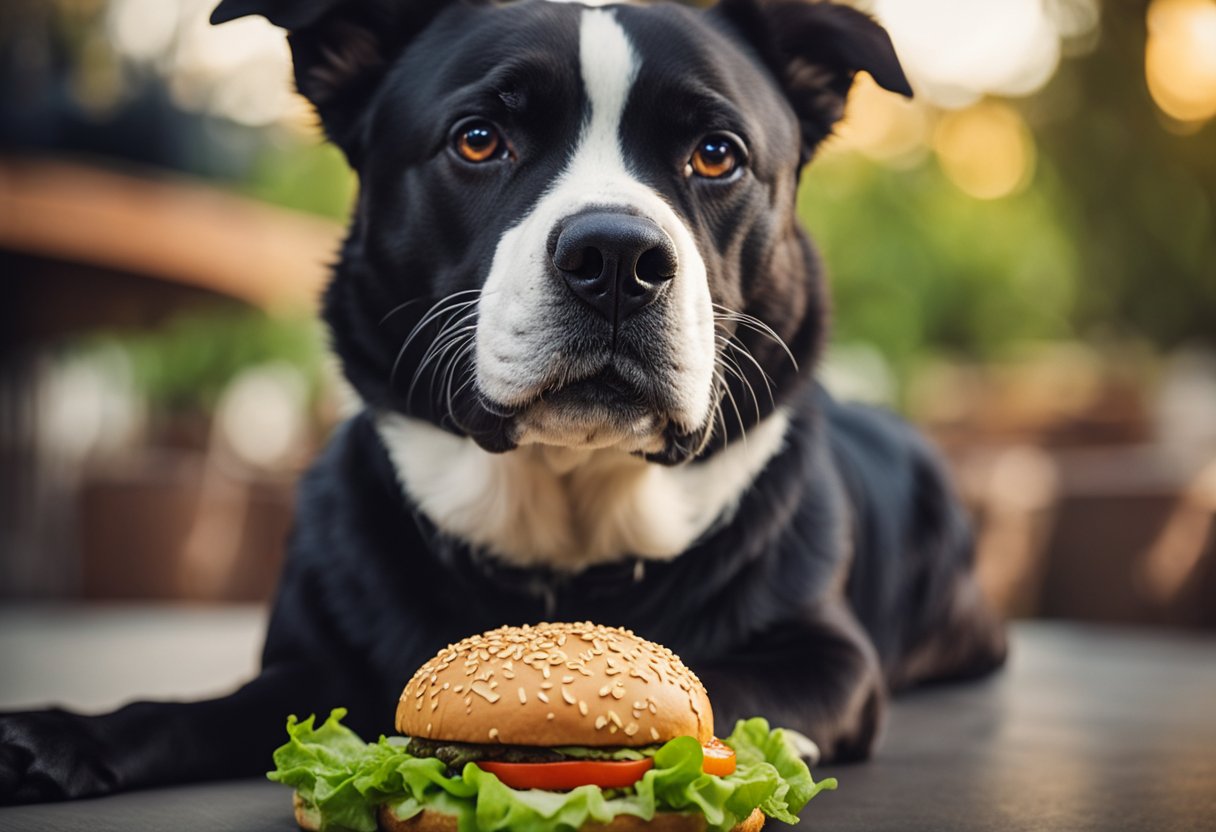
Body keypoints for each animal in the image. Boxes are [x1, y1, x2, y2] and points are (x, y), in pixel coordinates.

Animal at [0, 0, 1006, 807]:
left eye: (716, 154)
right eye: (479, 139)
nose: (616, 259)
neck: (561, 519)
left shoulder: (827, 658)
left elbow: (715, 684)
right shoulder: (305, 658)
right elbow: (210, 709)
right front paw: (66, 736)